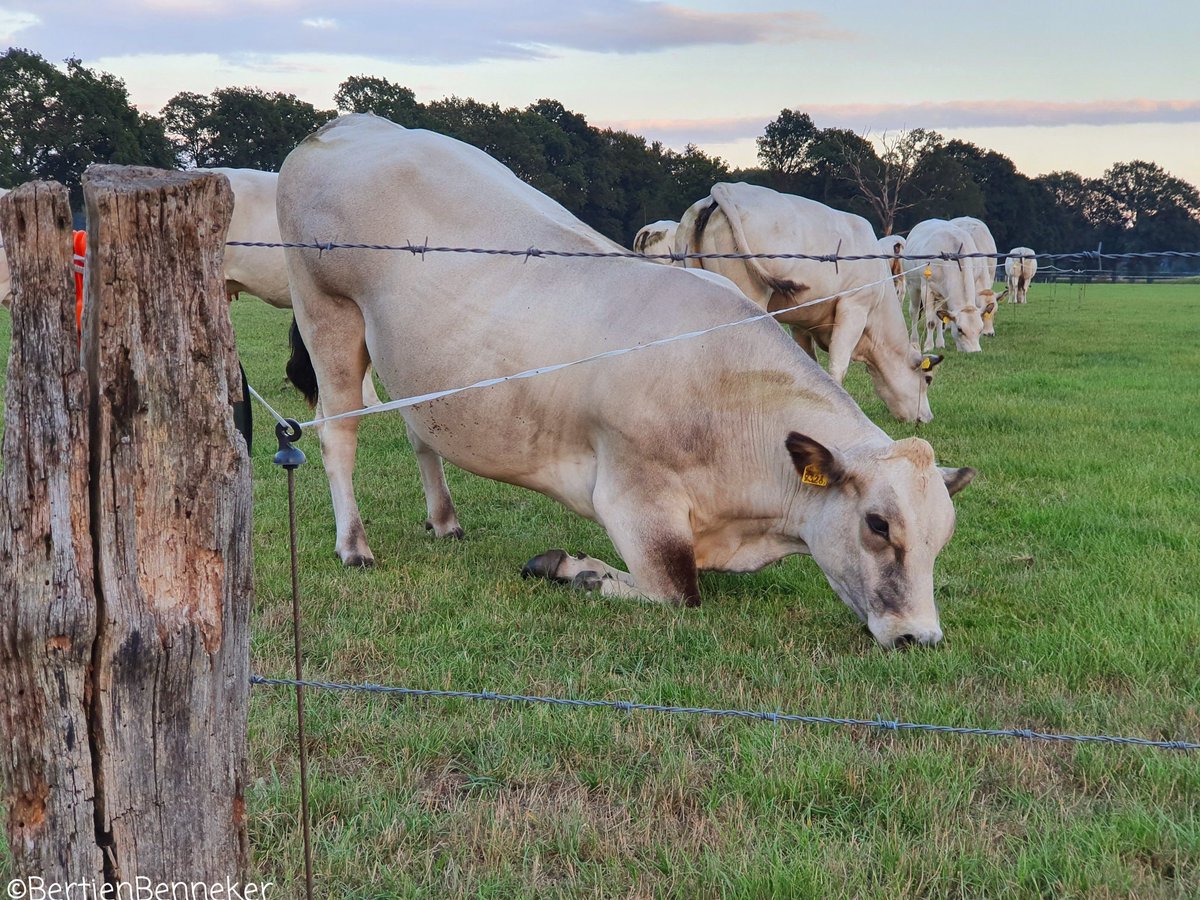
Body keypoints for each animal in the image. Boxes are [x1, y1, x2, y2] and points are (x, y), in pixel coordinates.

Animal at [674, 183, 941, 423]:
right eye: (927, 379)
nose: (927, 418)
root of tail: (724, 189)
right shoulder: (854, 308)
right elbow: (837, 366)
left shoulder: (802, 321)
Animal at [904, 219, 993, 353]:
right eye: (960, 329)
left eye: (980, 329)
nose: (975, 352)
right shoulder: (927, 289)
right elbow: (930, 321)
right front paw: (928, 346)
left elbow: (940, 319)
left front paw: (939, 344)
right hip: (912, 285)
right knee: (914, 312)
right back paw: (914, 341)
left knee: (939, 317)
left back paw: (940, 342)